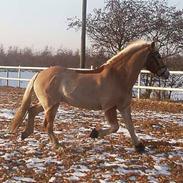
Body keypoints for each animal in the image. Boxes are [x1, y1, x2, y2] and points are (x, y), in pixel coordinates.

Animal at [8, 40, 169, 153]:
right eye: (158, 55)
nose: (166, 73)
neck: (118, 76)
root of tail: (39, 73)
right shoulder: (109, 107)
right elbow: (115, 127)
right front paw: (94, 133)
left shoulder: (124, 106)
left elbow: (130, 126)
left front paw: (139, 146)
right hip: (51, 105)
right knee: (47, 124)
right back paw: (58, 146)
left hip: (49, 104)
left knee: (31, 111)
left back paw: (25, 134)